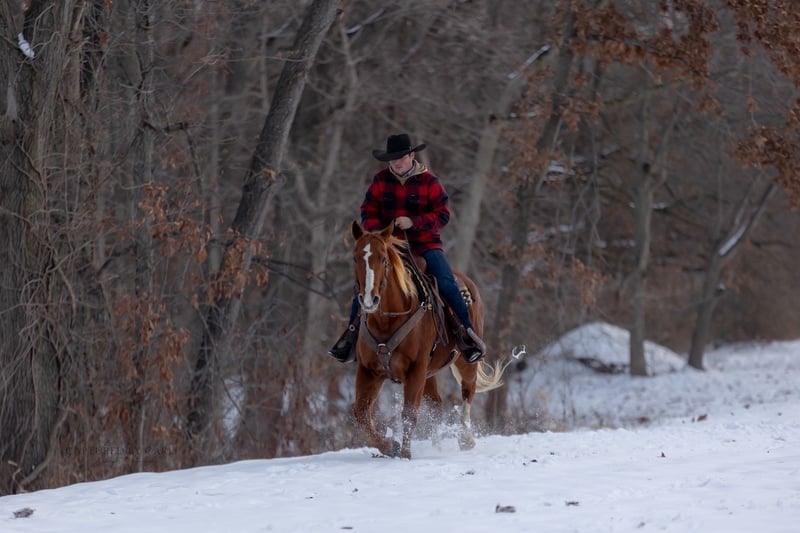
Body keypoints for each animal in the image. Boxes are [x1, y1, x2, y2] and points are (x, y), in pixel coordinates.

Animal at [349, 220, 506, 458]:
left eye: (384, 259)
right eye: (356, 257)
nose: (369, 299)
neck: (388, 321)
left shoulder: (415, 369)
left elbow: (409, 414)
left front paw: (405, 454)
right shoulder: (369, 371)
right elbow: (361, 414)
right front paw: (390, 446)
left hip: (464, 360)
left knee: (468, 391)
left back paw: (465, 439)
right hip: (429, 372)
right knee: (436, 405)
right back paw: (437, 445)